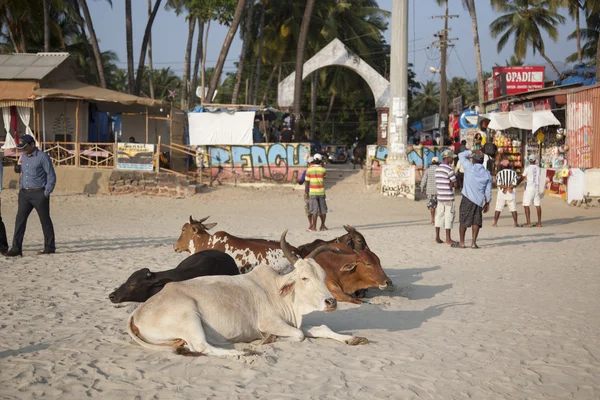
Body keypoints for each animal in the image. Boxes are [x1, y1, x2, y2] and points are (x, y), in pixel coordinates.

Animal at [129, 230, 368, 358]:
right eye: (304, 278)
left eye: (322, 275)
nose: (331, 302)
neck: (279, 293)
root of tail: (137, 312)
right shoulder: (271, 323)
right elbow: (299, 335)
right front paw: (268, 339)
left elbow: (320, 329)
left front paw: (353, 338)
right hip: (190, 318)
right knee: (201, 346)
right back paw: (241, 353)